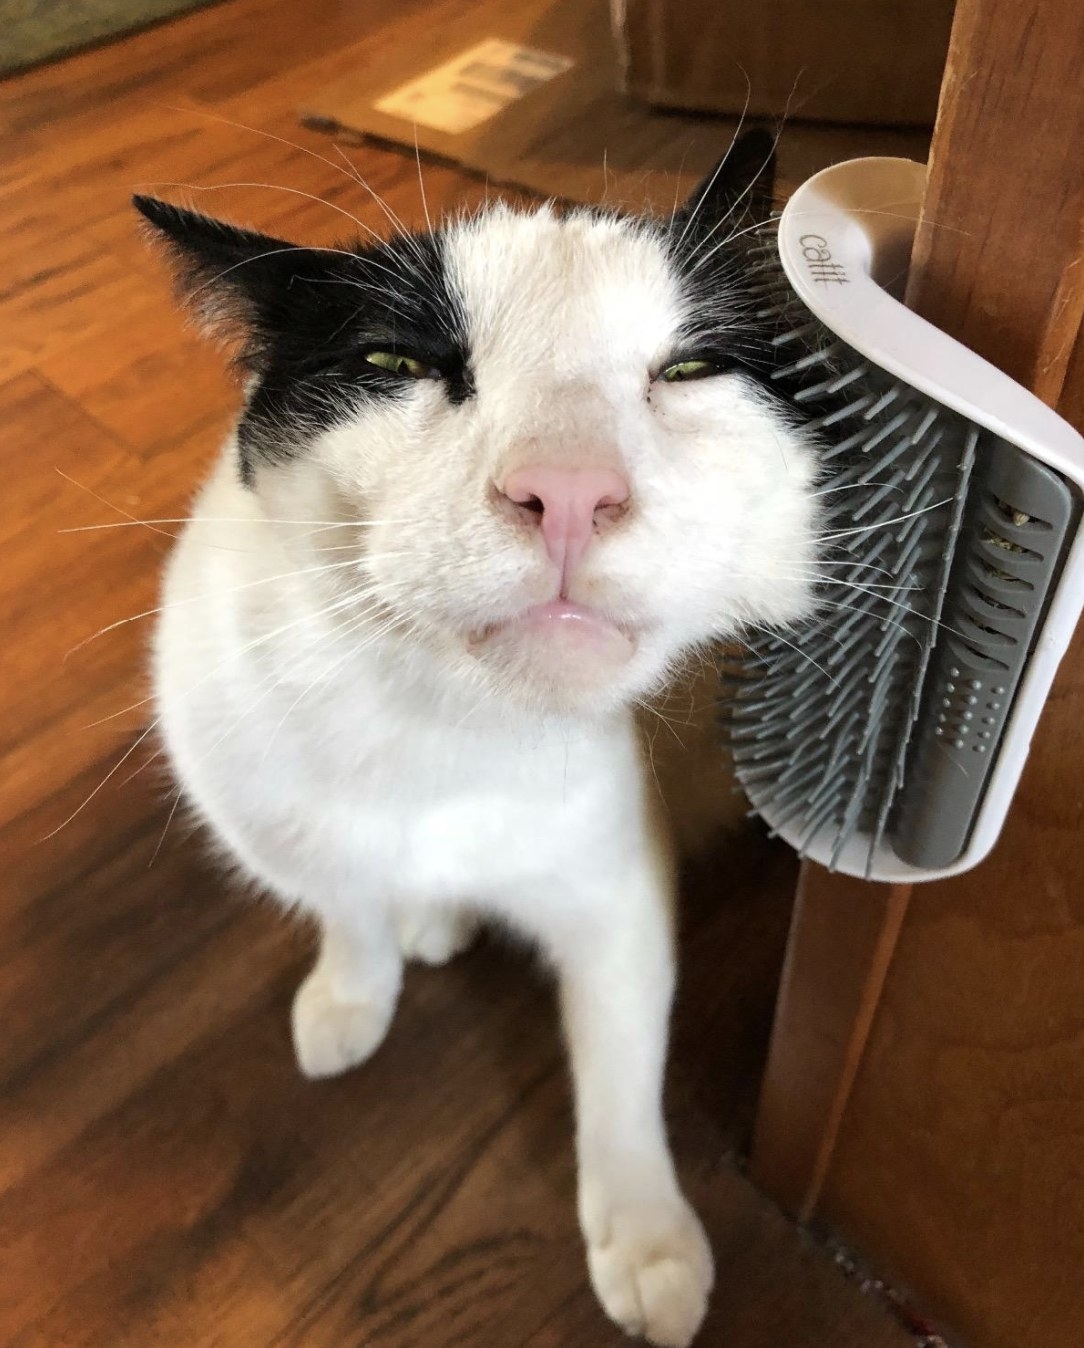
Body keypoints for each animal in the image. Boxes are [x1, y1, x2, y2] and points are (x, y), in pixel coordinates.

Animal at [133, 128, 814, 1348]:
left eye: (689, 371)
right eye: (395, 363)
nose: (570, 490)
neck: (442, 730)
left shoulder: (612, 895)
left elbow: (620, 1066)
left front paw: (643, 1233)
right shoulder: (278, 818)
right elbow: (346, 907)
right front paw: (351, 992)